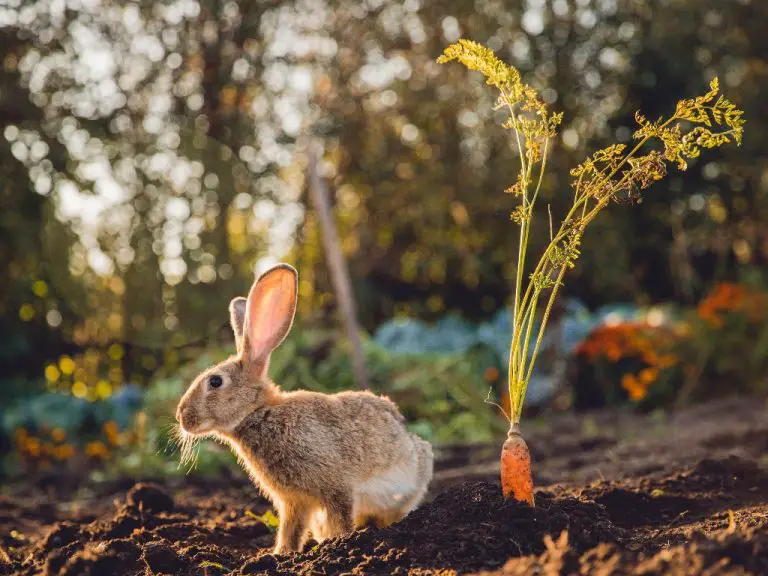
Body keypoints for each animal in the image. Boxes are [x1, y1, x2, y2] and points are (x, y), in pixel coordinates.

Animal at [176, 264, 436, 552]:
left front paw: (339, 544)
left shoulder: (336, 488)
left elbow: (340, 518)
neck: (258, 413)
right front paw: (282, 554)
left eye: (215, 382)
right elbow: (291, 529)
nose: (182, 417)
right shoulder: (294, 502)